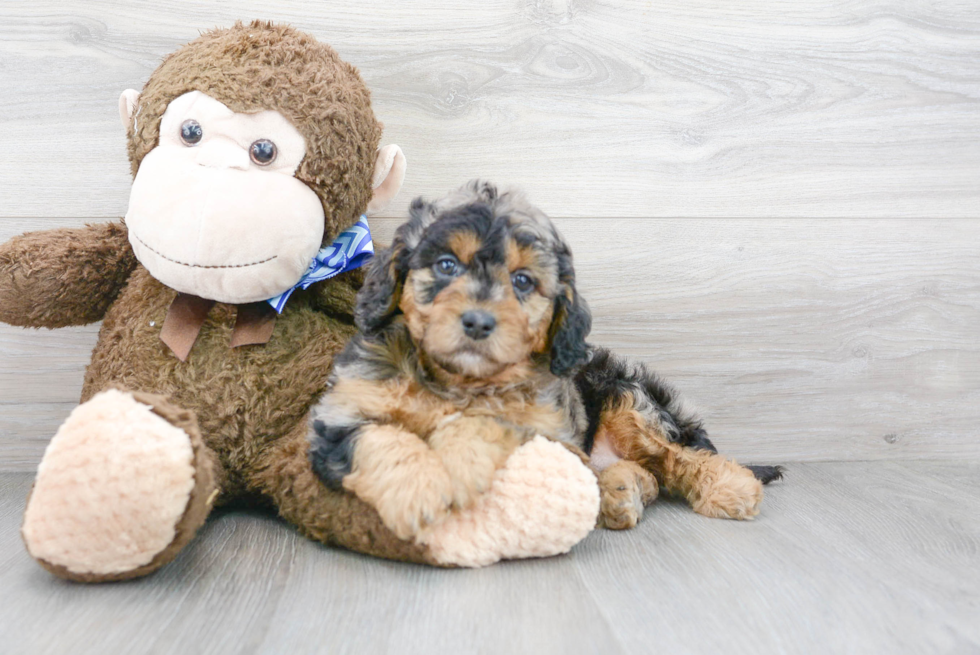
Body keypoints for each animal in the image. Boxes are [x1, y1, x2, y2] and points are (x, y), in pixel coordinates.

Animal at [308, 182, 780, 540]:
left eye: (522, 281)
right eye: (446, 265)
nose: (478, 322)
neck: (457, 380)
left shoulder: (550, 432)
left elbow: (490, 423)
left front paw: (457, 464)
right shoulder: (343, 409)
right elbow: (379, 438)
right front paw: (417, 492)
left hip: (627, 399)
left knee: (678, 455)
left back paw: (732, 486)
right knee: (646, 475)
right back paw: (619, 491)